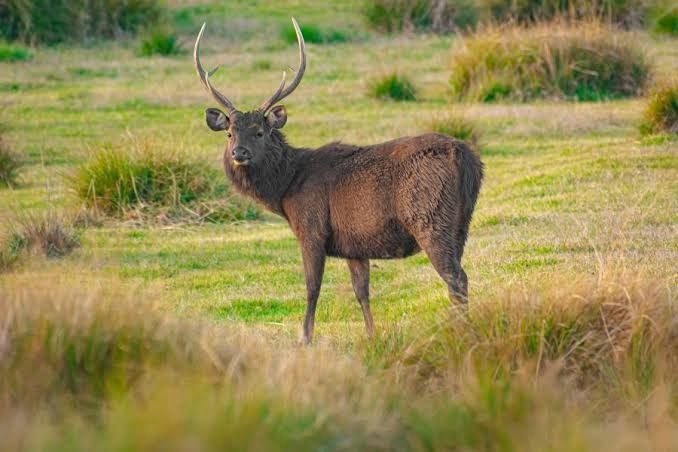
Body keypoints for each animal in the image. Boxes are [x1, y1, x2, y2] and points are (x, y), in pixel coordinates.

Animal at [194, 18, 483, 344]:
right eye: (230, 133)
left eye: (259, 132)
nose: (238, 153)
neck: (287, 189)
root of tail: (466, 158)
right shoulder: (354, 245)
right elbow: (361, 292)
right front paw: (372, 335)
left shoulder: (312, 228)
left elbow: (312, 288)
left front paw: (305, 337)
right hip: (461, 223)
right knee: (458, 275)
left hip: (430, 218)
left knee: (456, 277)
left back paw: (461, 332)